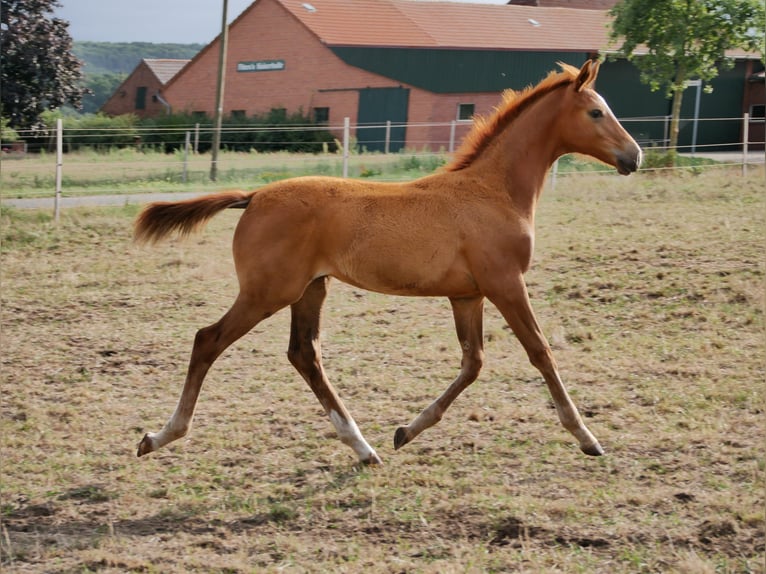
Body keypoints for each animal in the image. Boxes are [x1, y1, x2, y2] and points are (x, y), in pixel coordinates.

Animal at [136, 60, 640, 464]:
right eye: (596, 112)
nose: (634, 156)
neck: (493, 191)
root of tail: (254, 196)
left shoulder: (468, 294)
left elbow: (473, 362)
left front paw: (405, 432)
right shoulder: (505, 283)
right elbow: (540, 352)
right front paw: (587, 437)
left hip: (310, 289)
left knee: (304, 354)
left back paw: (363, 448)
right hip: (267, 292)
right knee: (208, 340)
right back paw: (160, 436)